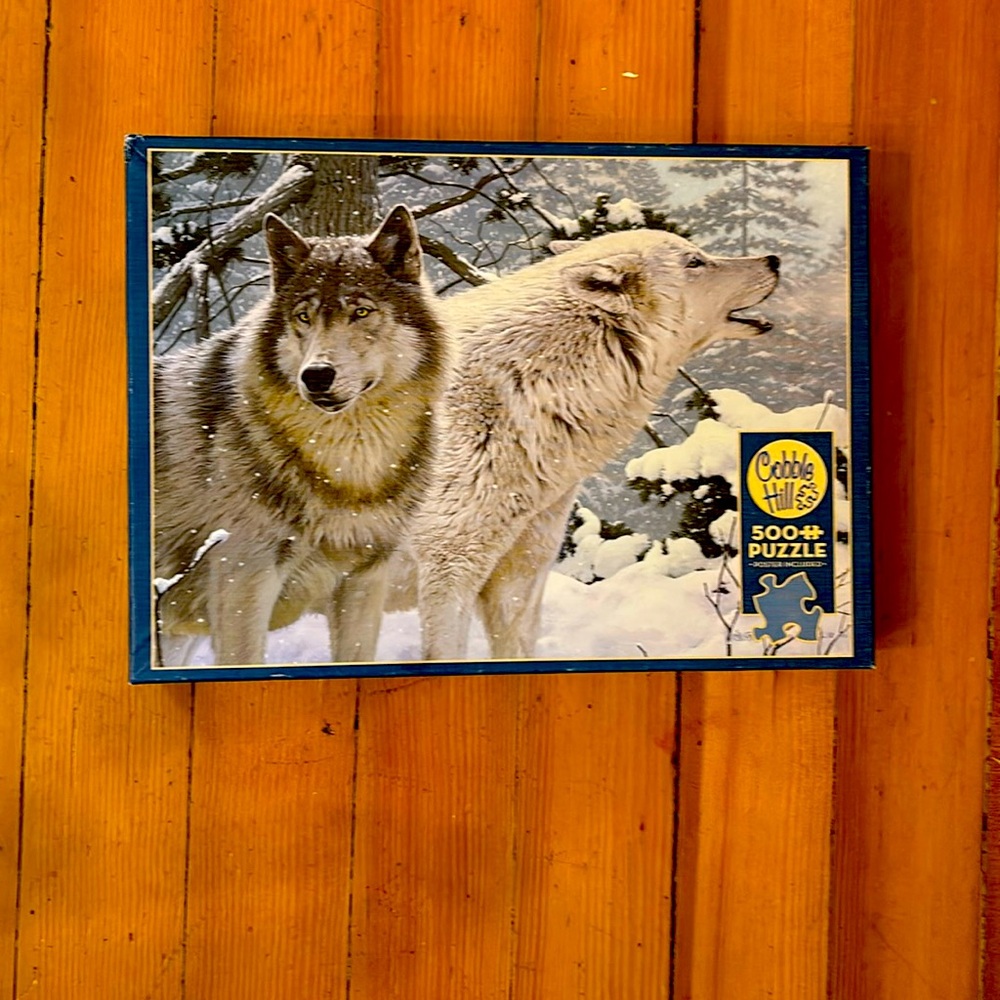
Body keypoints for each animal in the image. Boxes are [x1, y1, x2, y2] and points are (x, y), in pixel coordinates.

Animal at [154, 206, 448, 666]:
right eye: (304, 316)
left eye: (361, 312)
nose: (316, 375)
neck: (350, 470)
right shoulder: (243, 581)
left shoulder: (366, 579)